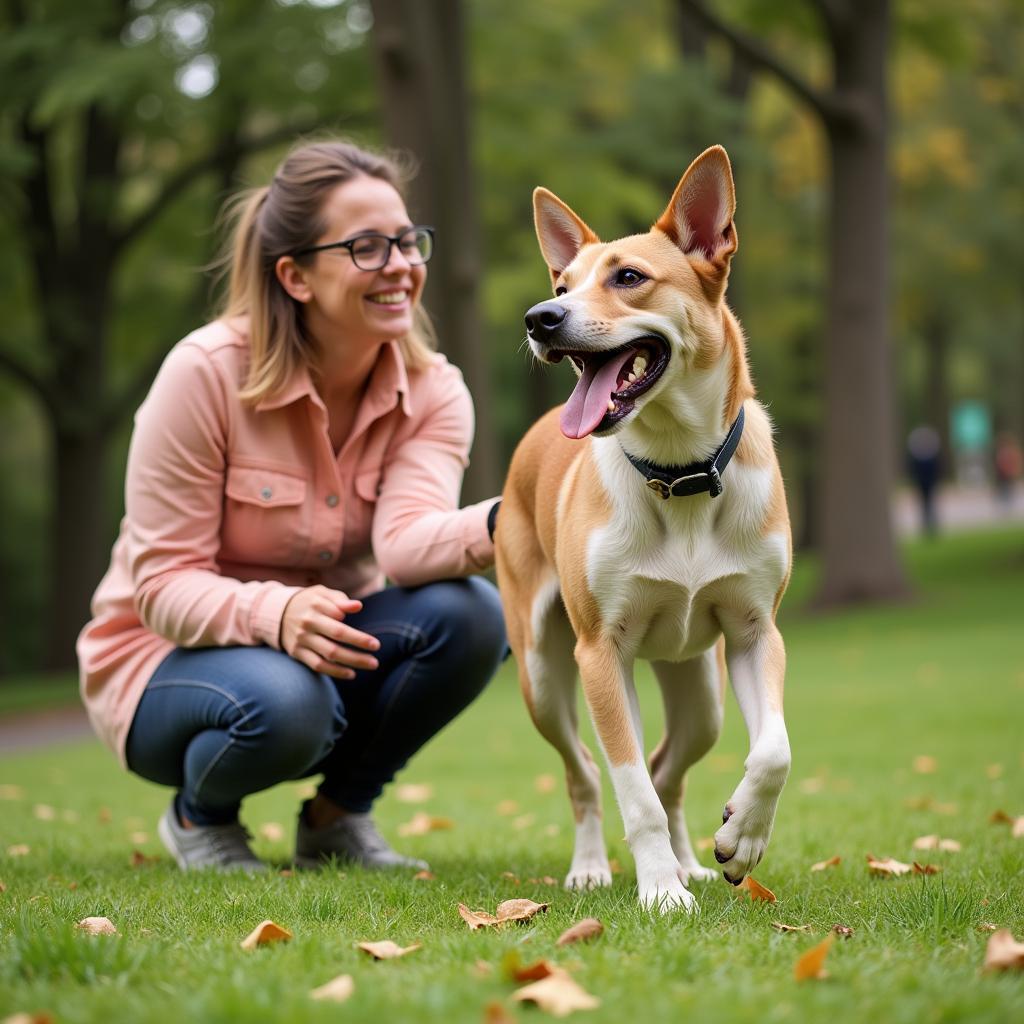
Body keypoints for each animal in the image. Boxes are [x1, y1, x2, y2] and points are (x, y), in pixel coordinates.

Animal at [493, 144, 790, 913]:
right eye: (562, 282)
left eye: (628, 277)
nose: (540, 317)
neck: (678, 471)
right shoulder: (601, 652)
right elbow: (630, 788)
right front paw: (660, 892)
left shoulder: (756, 631)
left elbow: (773, 752)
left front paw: (740, 840)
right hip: (542, 674)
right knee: (586, 773)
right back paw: (594, 867)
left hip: (701, 688)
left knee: (669, 768)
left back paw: (693, 858)